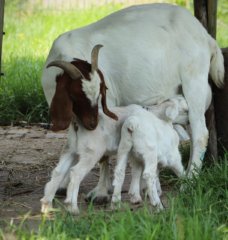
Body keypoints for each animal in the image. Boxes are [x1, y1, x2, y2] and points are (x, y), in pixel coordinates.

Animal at [41, 3, 224, 202]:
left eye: (99, 93)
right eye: (75, 95)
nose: (91, 124)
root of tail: (206, 37)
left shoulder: (107, 105)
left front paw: (100, 192)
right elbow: (72, 142)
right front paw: (62, 184)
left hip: (194, 79)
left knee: (200, 134)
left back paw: (188, 181)